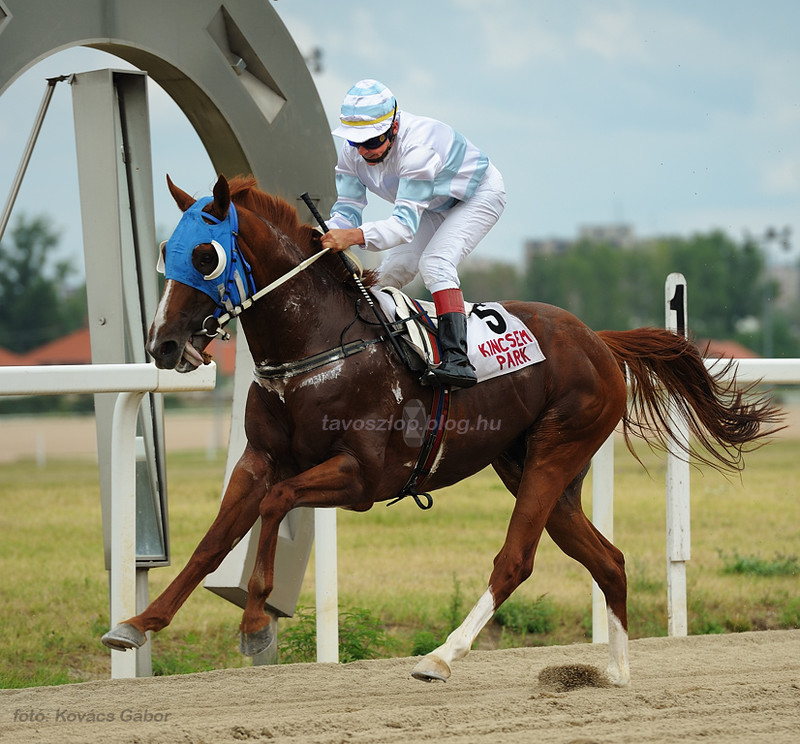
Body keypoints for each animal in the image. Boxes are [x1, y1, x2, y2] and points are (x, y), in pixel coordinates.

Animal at [101, 174, 780, 684]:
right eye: (165, 252)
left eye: (204, 255)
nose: (163, 344)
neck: (315, 349)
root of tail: (599, 339)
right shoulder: (260, 459)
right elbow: (214, 540)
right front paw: (137, 623)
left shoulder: (361, 477)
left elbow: (275, 504)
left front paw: (253, 626)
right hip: (534, 469)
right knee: (607, 560)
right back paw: (615, 674)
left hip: (557, 449)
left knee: (516, 560)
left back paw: (441, 656)